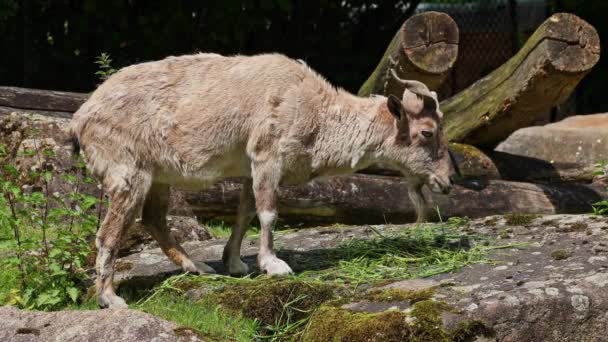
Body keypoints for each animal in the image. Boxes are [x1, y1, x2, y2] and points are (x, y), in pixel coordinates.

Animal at [69, 52, 454, 308]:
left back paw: (199, 266)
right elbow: (269, 213)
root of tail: (80, 119)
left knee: (154, 219)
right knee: (109, 233)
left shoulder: (249, 168)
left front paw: (235, 263)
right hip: (127, 174)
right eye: (426, 132)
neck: (313, 108)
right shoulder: (269, 155)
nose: (447, 181)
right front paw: (274, 265)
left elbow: (245, 213)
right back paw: (110, 298)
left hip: (157, 177)